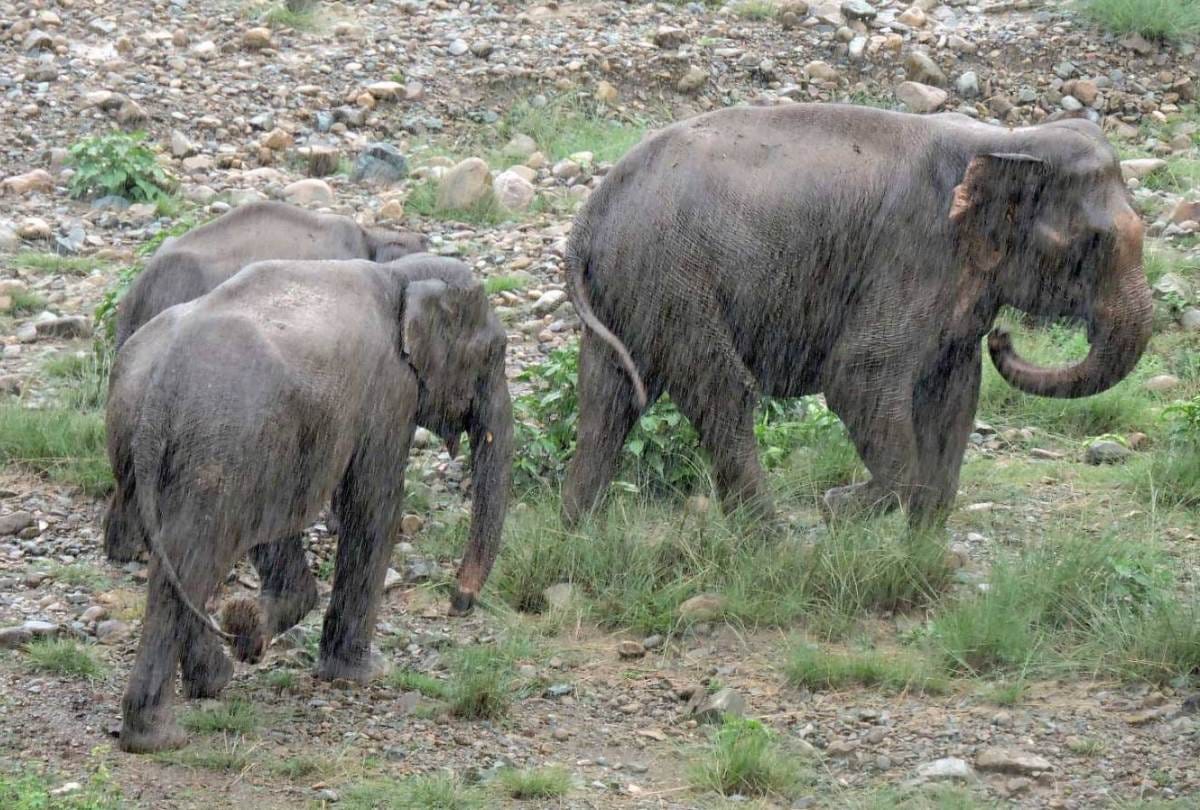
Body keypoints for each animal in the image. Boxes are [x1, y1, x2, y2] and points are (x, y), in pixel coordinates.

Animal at [108, 254, 512, 753]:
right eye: (495, 353)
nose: (457, 603)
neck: (399, 275)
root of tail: (159, 388)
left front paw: (252, 630)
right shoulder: (388, 390)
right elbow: (373, 503)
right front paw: (362, 673)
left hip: (155, 444)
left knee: (192, 553)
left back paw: (216, 674)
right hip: (223, 447)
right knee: (196, 558)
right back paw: (161, 734)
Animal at [561, 103, 1151, 528]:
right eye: (1093, 243)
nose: (1004, 338)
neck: (1007, 141)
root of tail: (589, 215)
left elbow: (954, 389)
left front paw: (922, 547)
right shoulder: (913, 252)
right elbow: (857, 376)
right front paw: (839, 506)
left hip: (631, 288)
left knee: (606, 397)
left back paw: (580, 534)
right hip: (672, 279)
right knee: (721, 393)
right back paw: (771, 543)